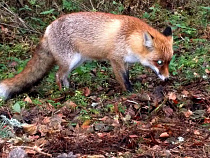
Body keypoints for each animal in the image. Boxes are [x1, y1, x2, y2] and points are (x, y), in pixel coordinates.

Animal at [0, 11, 173, 99]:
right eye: (159, 62)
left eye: (168, 62)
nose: (167, 79)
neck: (130, 37)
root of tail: (48, 28)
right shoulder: (115, 59)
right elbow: (124, 79)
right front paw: (131, 93)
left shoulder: (126, 62)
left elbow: (127, 76)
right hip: (69, 61)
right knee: (57, 75)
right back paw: (64, 94)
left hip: (76, 62)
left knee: (63, 77)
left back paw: (70, 90)